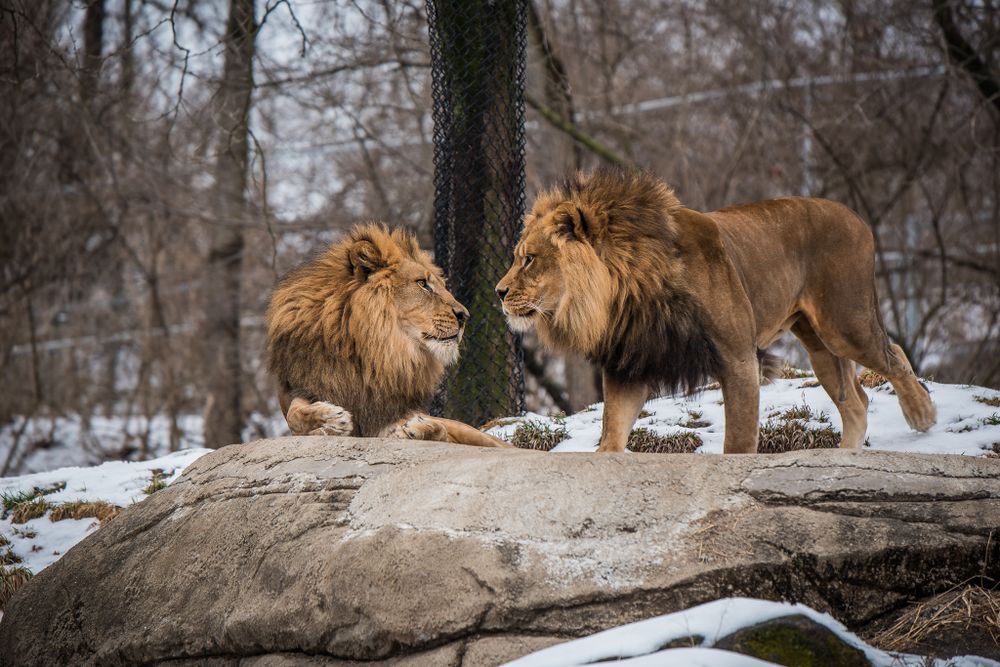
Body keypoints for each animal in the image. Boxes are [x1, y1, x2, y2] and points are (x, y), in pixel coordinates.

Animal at [266, 223, 509, 448]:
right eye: (423, 284)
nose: (464, 315)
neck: (375, 352)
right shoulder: (302, 390)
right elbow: (294, 415)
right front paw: (327, 420)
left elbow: (438, 431)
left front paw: (415, 429)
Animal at [495, 167, 936, 454]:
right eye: (518, 257)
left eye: (529, 259)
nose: (499, 292)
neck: (630, 288)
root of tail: (856, 216)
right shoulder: (631, 367)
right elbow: (612, 435)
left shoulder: (739, 359)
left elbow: (738, 443)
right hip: (819, 344)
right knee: (856, 402)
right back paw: (846, 458)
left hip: (845, 323)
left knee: (893, 354)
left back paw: (921, 414)